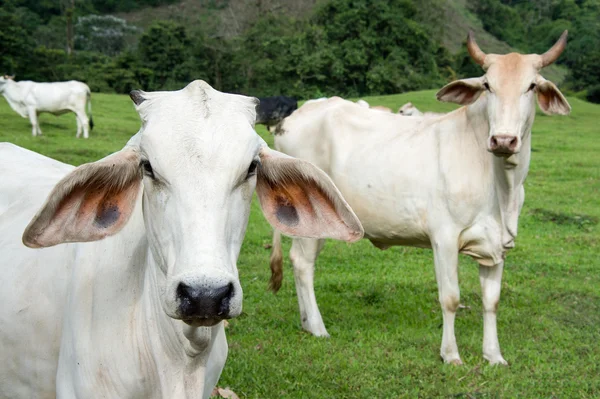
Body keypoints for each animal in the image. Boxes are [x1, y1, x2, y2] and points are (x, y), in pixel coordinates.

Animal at [268, 32, 572, 368]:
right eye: (487, 85)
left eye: (531, 86)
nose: (503, 140)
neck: (502, 186)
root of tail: (291, 119)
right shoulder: (445, 237)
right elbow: (450, 298)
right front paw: (451, 355)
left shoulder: (497, 244)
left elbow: (491, 301)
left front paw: (494, 355)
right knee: (303, 264)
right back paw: (319, 327)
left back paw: (306, 323)